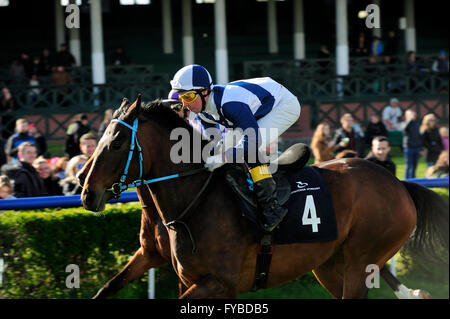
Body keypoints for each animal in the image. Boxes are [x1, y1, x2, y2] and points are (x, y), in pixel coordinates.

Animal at [79, 95, 448, 300]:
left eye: (115, 143)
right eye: (99, 138)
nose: (85, 191)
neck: (192, 201)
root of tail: (397, 183)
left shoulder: (220, 284)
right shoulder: (158, 259)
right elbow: (107, 288)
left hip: (362, 259)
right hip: (331, 264)